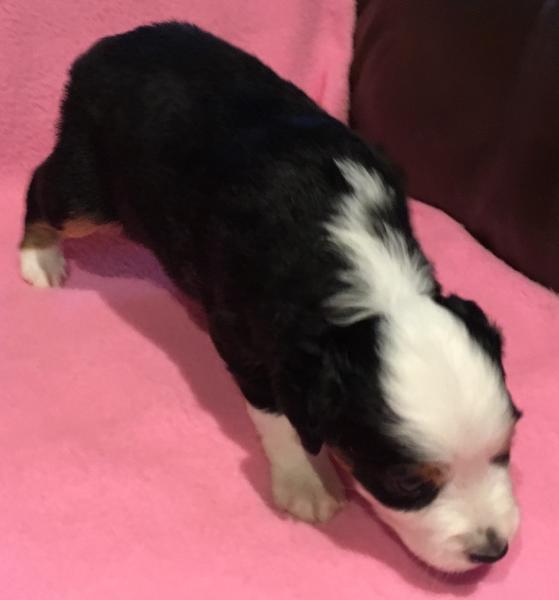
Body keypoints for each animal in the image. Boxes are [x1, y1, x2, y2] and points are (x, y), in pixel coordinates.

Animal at [19, 22, 521, 573]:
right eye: (407, 484)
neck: (369, 277)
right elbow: (278, 417)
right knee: (44, 187)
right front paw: (306, 483)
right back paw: (38, 258)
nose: (492, 551)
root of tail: (106, 45)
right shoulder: (245, 339)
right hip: (91, 189)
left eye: (506, 450)